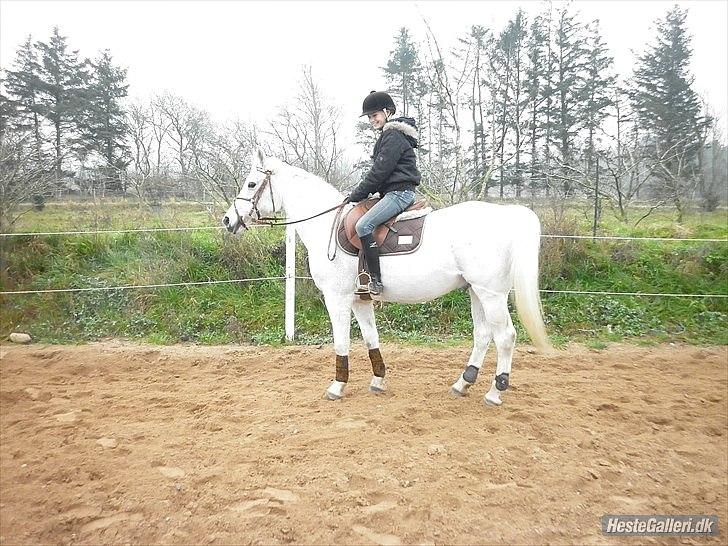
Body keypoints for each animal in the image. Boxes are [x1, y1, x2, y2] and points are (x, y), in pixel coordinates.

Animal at [223, 149, 552, 404]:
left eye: (252, 183)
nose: (228, 220)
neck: (328, 224)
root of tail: (506, 214)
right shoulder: (360, 299)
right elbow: (371, 337)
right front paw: (378, 379)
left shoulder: (337, 299)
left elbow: (341, 342)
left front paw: (337, 385)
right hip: (476, 291)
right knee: (483, 334)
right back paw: (463, 383)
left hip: (491, 294)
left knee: (505, 337)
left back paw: (495, 392)